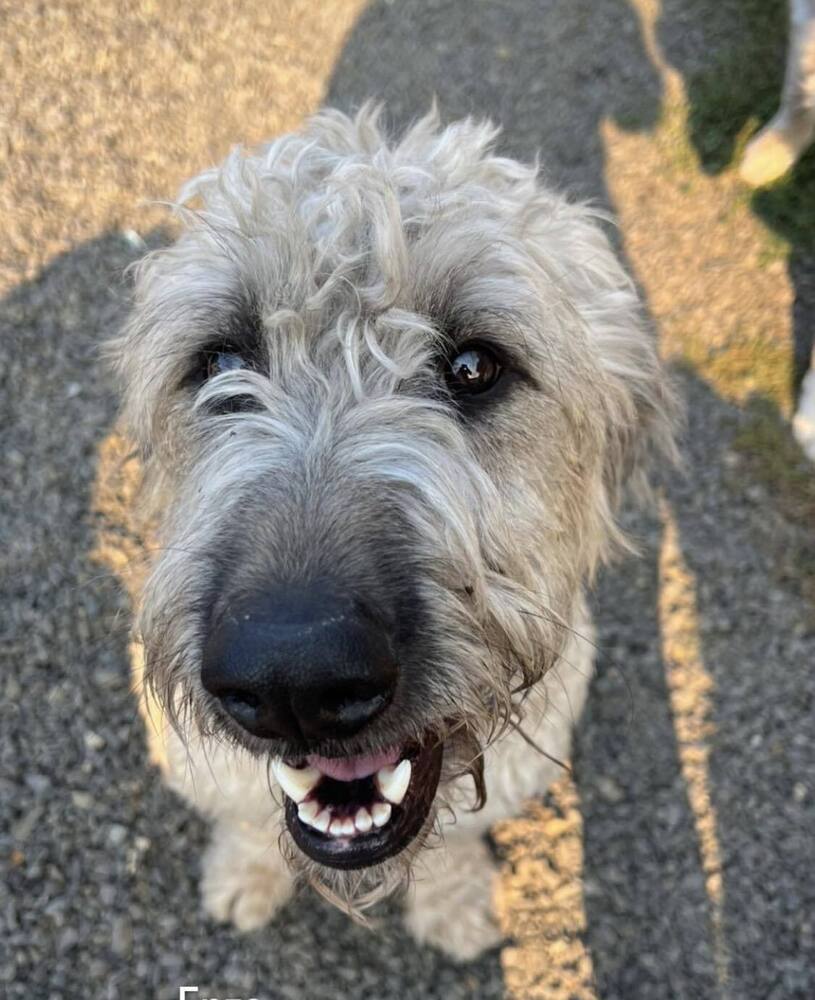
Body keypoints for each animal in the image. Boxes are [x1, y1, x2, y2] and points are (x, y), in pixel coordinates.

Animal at [111, 105, 680, 956]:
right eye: (219, 363)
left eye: (475, 366)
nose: (295, 678)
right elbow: (246, 821)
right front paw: (244, 875)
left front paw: (453, 904)